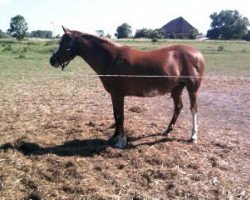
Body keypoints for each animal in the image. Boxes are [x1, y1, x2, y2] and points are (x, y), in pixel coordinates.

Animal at [49, 26, 205, 148]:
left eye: (64, 43)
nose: (52, 60)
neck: (112, 59)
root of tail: (198, 54)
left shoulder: (118, 94)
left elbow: (120, 116)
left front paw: (121, 141)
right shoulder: (114, 95)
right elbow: (115, 115)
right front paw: (114, 137)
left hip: (192, 88)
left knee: (193, 109)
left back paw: (193, 136)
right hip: (177, 87)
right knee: (178, 107)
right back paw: (167, 131)